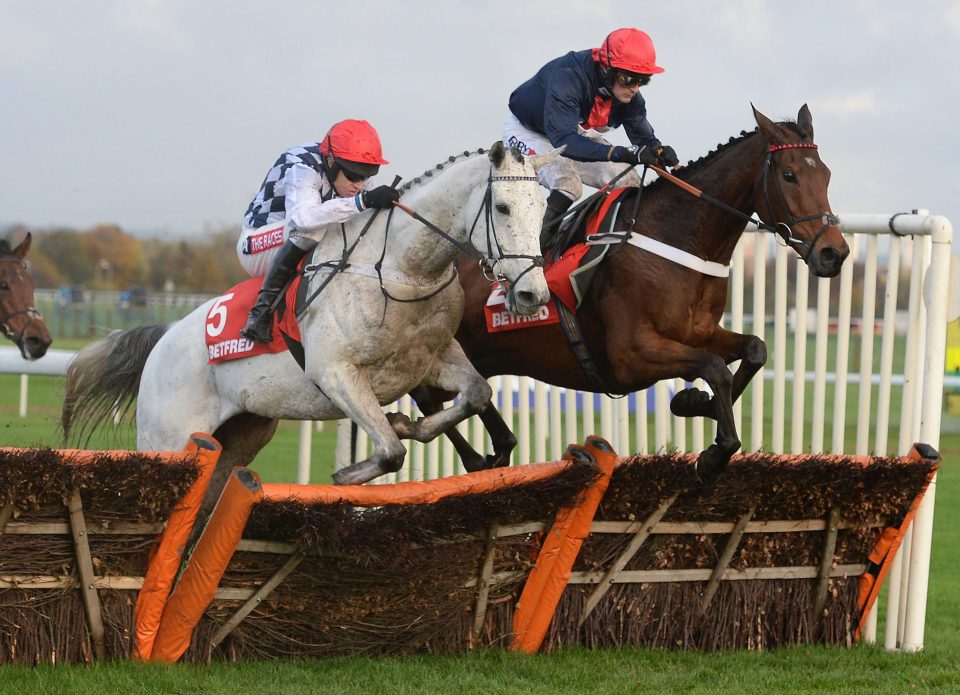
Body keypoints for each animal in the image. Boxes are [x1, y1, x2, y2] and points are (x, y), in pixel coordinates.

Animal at [60, 143, 564, 484]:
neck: (398, 269)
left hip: (236, 440)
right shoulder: (335, 373)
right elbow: (390, 451)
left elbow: (476, 392)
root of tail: (163, 341)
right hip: (168, 438)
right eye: (503, 207)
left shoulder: (429, 361)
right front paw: (355, 468)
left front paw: (412, 424)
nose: (532, 294)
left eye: (543, 206)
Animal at [416, 104, 852, 484]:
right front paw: (713, 451)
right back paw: (479, 455)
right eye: (790, 175)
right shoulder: (630, 357)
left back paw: (498, 446)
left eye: (828, 175)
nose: (835, 253)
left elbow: (754, 350)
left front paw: (695, 403)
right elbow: (714, 368)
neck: (679, 237)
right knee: (427, 400)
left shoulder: (699, 333)